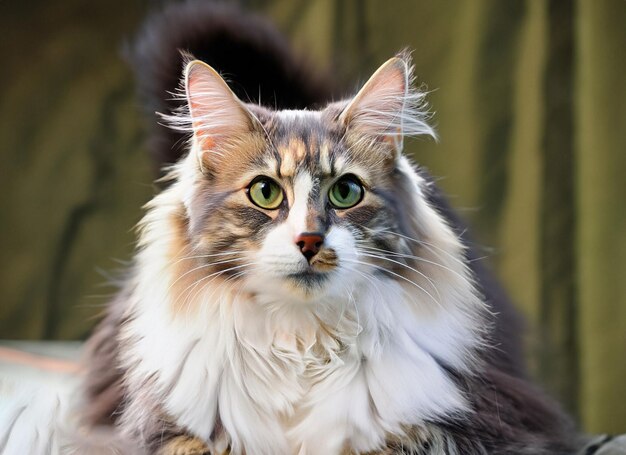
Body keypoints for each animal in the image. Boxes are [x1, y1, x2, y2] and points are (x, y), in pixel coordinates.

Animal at [74, 1, 580, 454]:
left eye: (346, 192)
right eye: (265, 192)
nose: (309, 241)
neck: (303, 339)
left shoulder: (491, 419)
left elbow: (395, 441)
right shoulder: (144, 427)